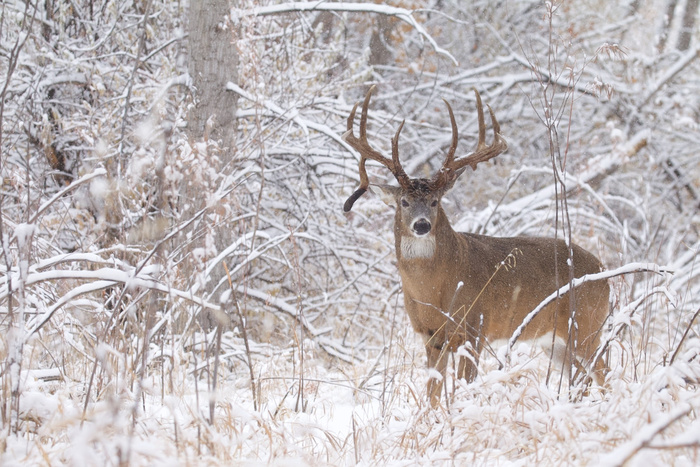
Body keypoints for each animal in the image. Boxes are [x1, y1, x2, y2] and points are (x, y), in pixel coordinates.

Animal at [341, 86, 610, 407]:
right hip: (555, 340)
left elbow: (461, 389)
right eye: (404, 202)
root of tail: (603, 271)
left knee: (604, 371)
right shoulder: (431, 336)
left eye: (435, 201)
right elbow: (433, 394)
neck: (435, 288)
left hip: (586, 323)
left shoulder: (475, 328)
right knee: (581, 379)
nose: (422, 225)